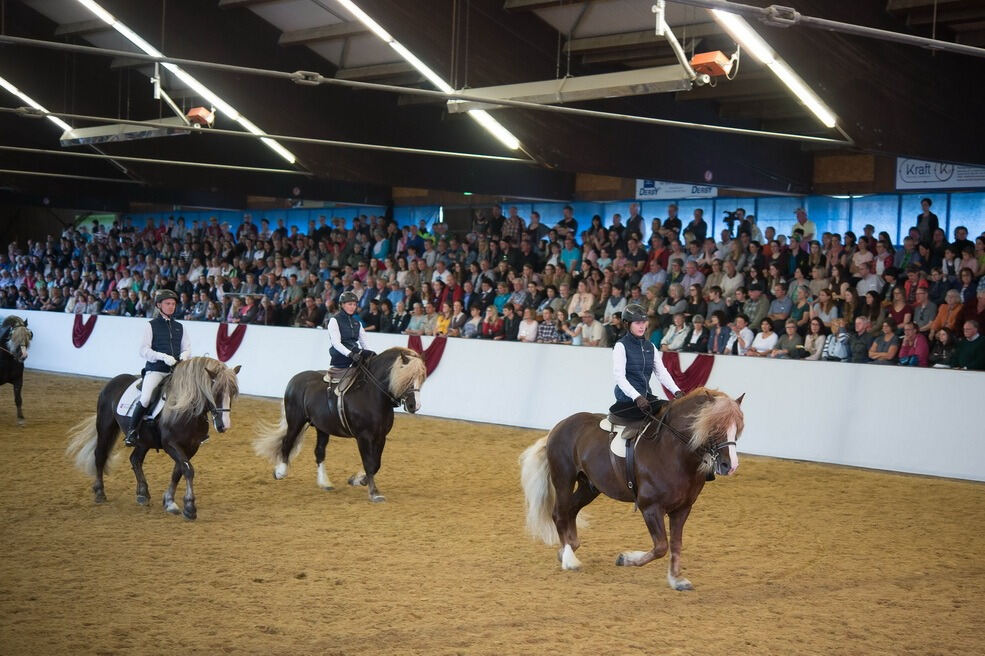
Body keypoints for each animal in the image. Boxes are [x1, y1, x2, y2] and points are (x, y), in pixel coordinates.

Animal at [67, 356, 240, 520]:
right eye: (215, 392)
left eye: (232, 392)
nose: (224, 425)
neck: (184, 409)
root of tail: (113, 381)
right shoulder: (171, 444)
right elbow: (188, 470)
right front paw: (189, 508)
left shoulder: (191, 447)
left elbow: (178, 471)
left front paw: (169, 501)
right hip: (105, 427)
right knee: (100, 455)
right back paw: (100, 492)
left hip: (142, 441)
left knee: (135, 459)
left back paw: (143, 493)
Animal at [254, 348, 422, 502]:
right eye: (407, 378)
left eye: (421, 378)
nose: (414, 406)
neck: (372, 395)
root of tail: (295, 379)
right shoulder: (363, 437)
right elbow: (369, 463)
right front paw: (374, 493)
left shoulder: (381, 437)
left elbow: (376, 464)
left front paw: (357, 480)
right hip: (296, 421)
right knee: (287, 442)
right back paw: (280, 472)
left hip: (322, 428)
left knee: (319, 452)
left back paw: (324, 483)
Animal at [520, 386, 740, 592]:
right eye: (715, 427)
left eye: (737, 428)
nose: (730, 465)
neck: (672, 452)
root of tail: (559, 427)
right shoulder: (650, 507)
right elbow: (661, 547)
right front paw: (625, 559)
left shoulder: (682, 509)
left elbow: (676, 545)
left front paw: (676, 580)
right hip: (564, 478)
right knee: (559, 513)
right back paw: (569, 559)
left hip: (589, 486)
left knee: (571, 510)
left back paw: (568, 549)